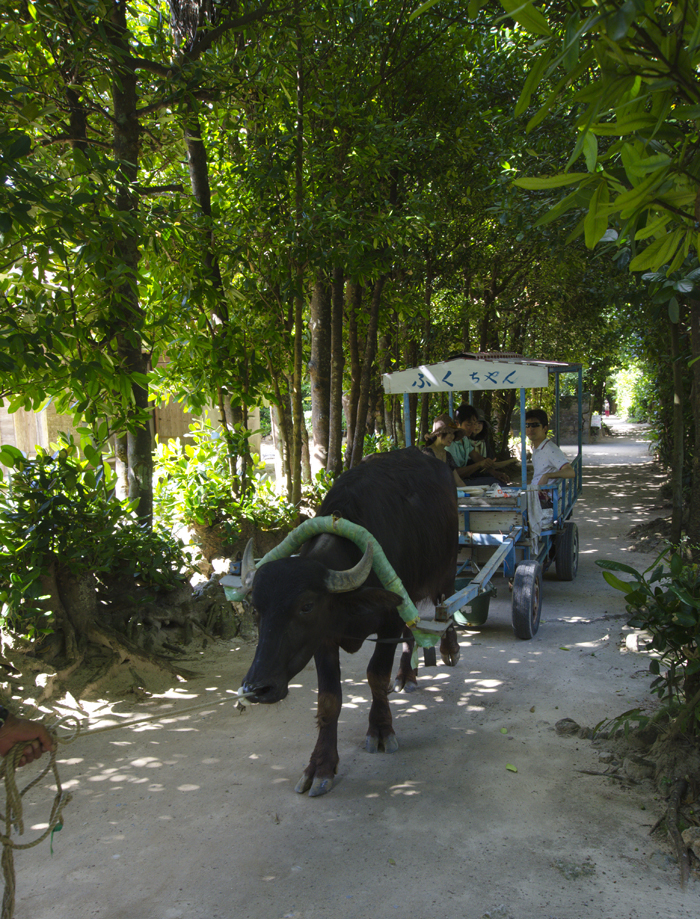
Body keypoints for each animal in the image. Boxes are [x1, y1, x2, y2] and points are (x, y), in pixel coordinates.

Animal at [241, 450, 460, 796]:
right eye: (254, 609)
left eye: (306, 606)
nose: (256, 689)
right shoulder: (324, 638)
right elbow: (329, 699)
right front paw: (320, 766)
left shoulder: (389, 620)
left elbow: (376, 675)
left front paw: (381, 730)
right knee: (412, 632)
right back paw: (406, 675)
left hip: (447, 568)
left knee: (446, 604)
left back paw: (450, 649)